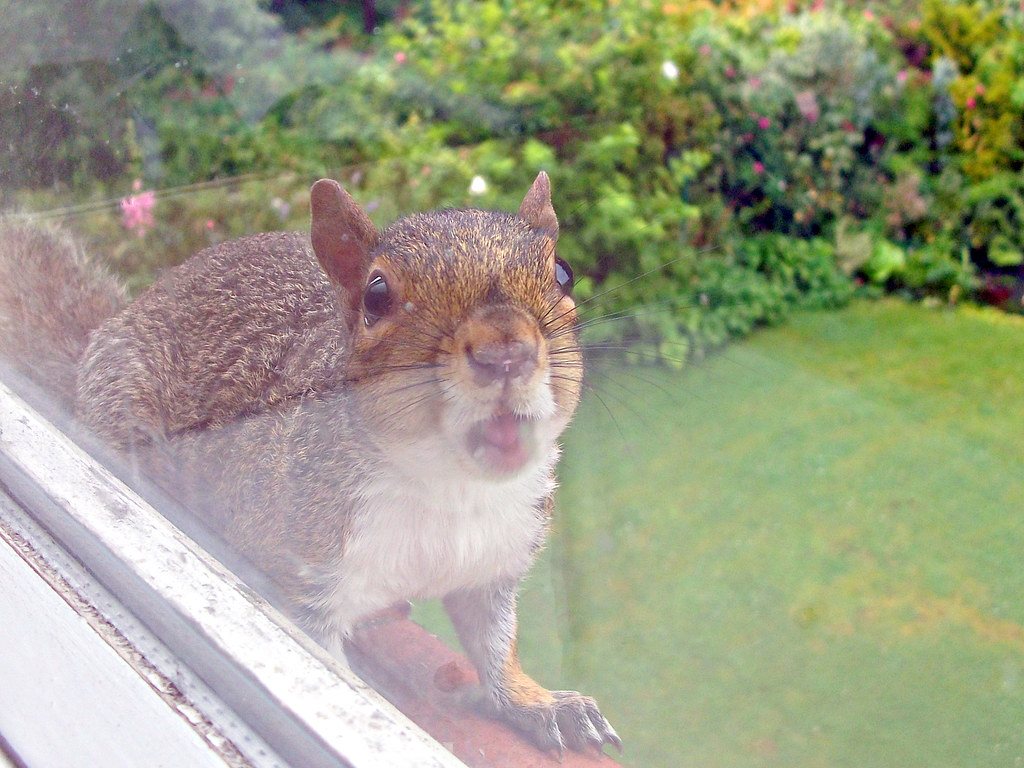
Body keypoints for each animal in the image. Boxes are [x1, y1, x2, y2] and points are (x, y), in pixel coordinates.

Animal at [0, 173, 621, 755]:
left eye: (563, 272)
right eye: (377, 295)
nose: (505, 353)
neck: (449, 489)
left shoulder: (494, 560)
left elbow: (495, 645)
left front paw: (538, 702)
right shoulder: (299, 564)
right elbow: (330, 665)